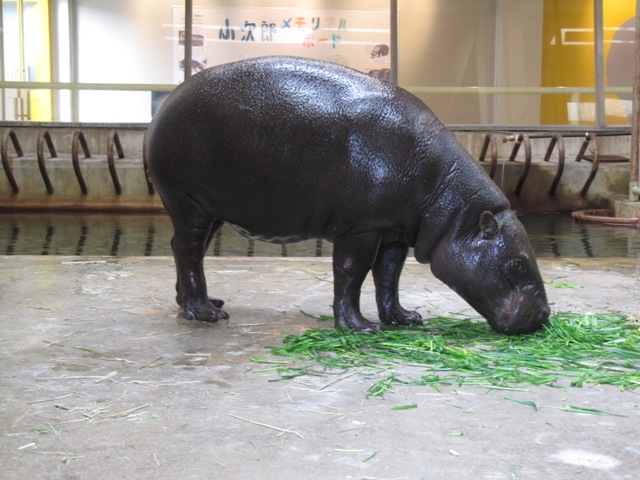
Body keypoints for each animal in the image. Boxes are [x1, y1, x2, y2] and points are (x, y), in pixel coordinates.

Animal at [146, 55, 552, 334]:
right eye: (518, 264)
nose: (547, 315)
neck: (449, 202)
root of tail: (166, 103)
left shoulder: (394, 232)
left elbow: (388, 277)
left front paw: (404, 318)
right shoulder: (362, 228)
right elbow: (351, 273)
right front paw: (360, 327)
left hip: (211, 208)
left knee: (185, 250)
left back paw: (201, 303)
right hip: (187, 202)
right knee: (188, 251)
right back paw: (207, 314)